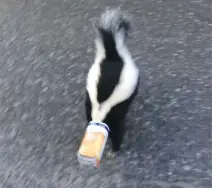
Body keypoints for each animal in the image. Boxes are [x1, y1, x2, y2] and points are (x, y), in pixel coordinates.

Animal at [85, 7, 140, 154]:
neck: (101, 108)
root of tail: (113, 56)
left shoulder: (116, 114)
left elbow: (119, 129)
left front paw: (114, 149)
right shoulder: (90, 103)